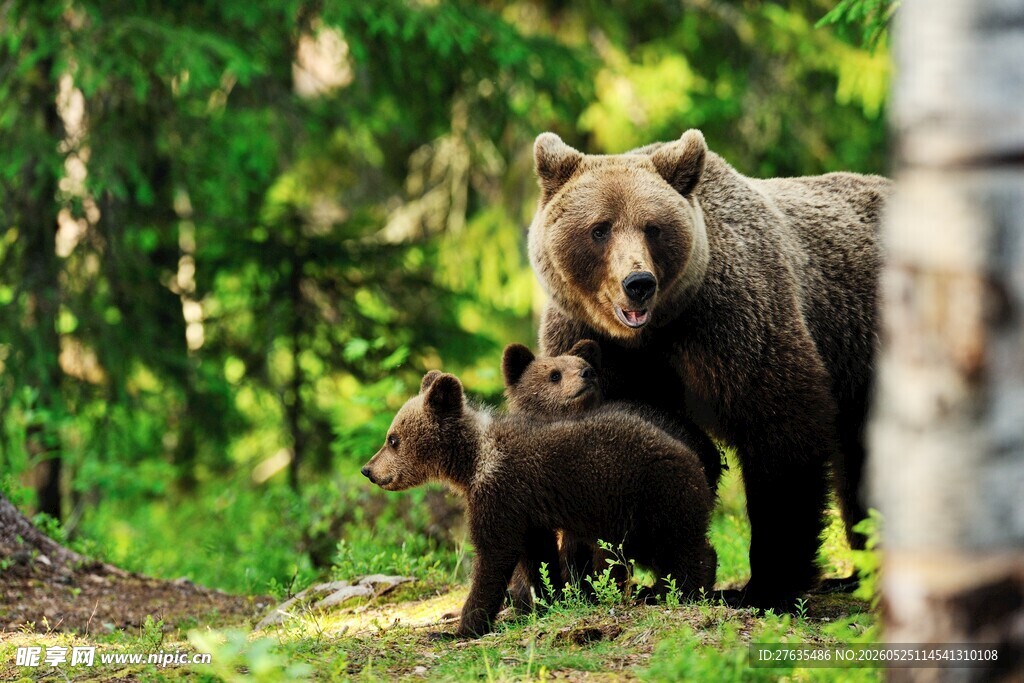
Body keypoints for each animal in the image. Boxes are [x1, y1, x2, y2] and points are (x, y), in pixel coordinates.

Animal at [361, 370, 716, 637]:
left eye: (392, 439)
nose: (368, 470)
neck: (472, 461)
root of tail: (693, 457)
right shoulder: (528, 509)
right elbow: (538, 556)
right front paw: (548, 600)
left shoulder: (500, 491)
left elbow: (494, 555)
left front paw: (461, 628)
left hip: (651, 496)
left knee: (681, 545)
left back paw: (686, 591)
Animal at [527, 129, 891, 609]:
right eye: (599, 228)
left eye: (653, 227)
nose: (638, 283)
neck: (653, 333)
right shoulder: (590, 344)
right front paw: (585, 577)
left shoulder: (731, 323)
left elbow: (781, 430)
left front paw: (766, 585)